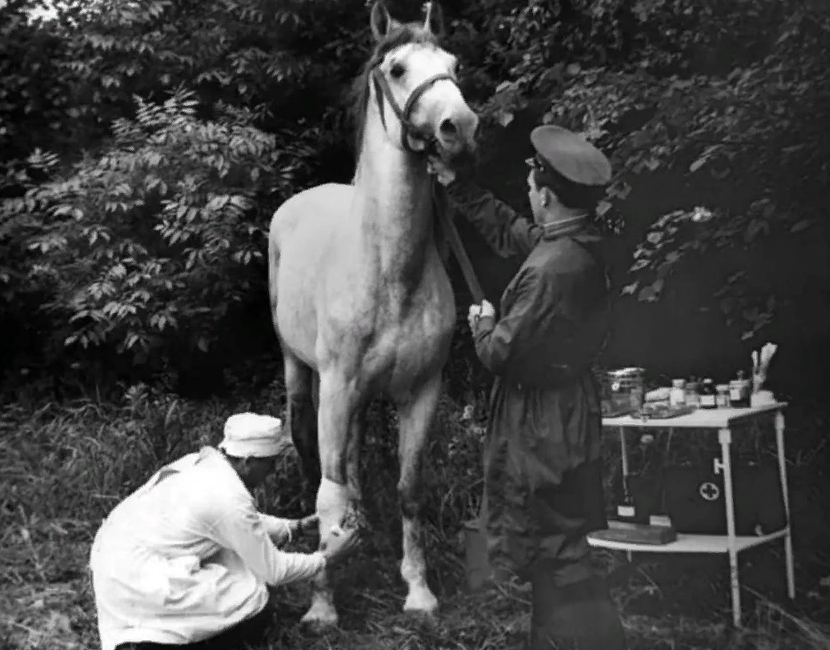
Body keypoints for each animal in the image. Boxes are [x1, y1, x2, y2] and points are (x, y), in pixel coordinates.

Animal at [266, 0, 480, 628]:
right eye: (398, 68)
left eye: (454, 65)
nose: (461, 129)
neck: (388, 270)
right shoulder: (336, 387)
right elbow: (326, 491)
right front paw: (322, 605)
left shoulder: (421, 391)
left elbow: (409, 487)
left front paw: (418, 591)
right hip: (301, 373)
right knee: (315, 463)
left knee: (353, 466)